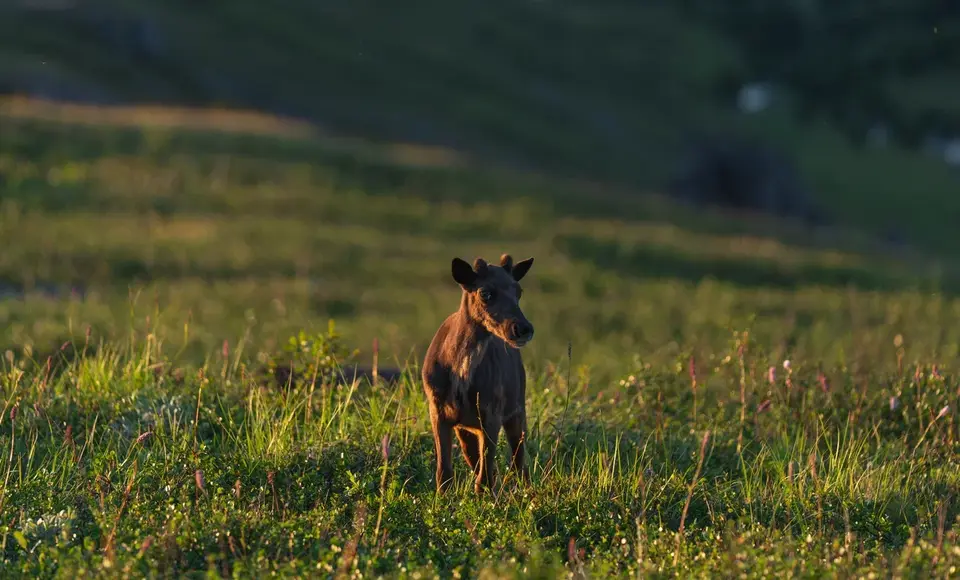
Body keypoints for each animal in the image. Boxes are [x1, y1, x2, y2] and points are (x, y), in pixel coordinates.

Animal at [422, 254, 536, 494]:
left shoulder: (492, 411)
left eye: (519, 291)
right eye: (485, 292)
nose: (523, 329)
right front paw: (442, 501)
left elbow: (485, 476)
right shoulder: (437, 410)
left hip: (517, 408)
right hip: (466, 427)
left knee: (518, 461)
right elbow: (444, 473)